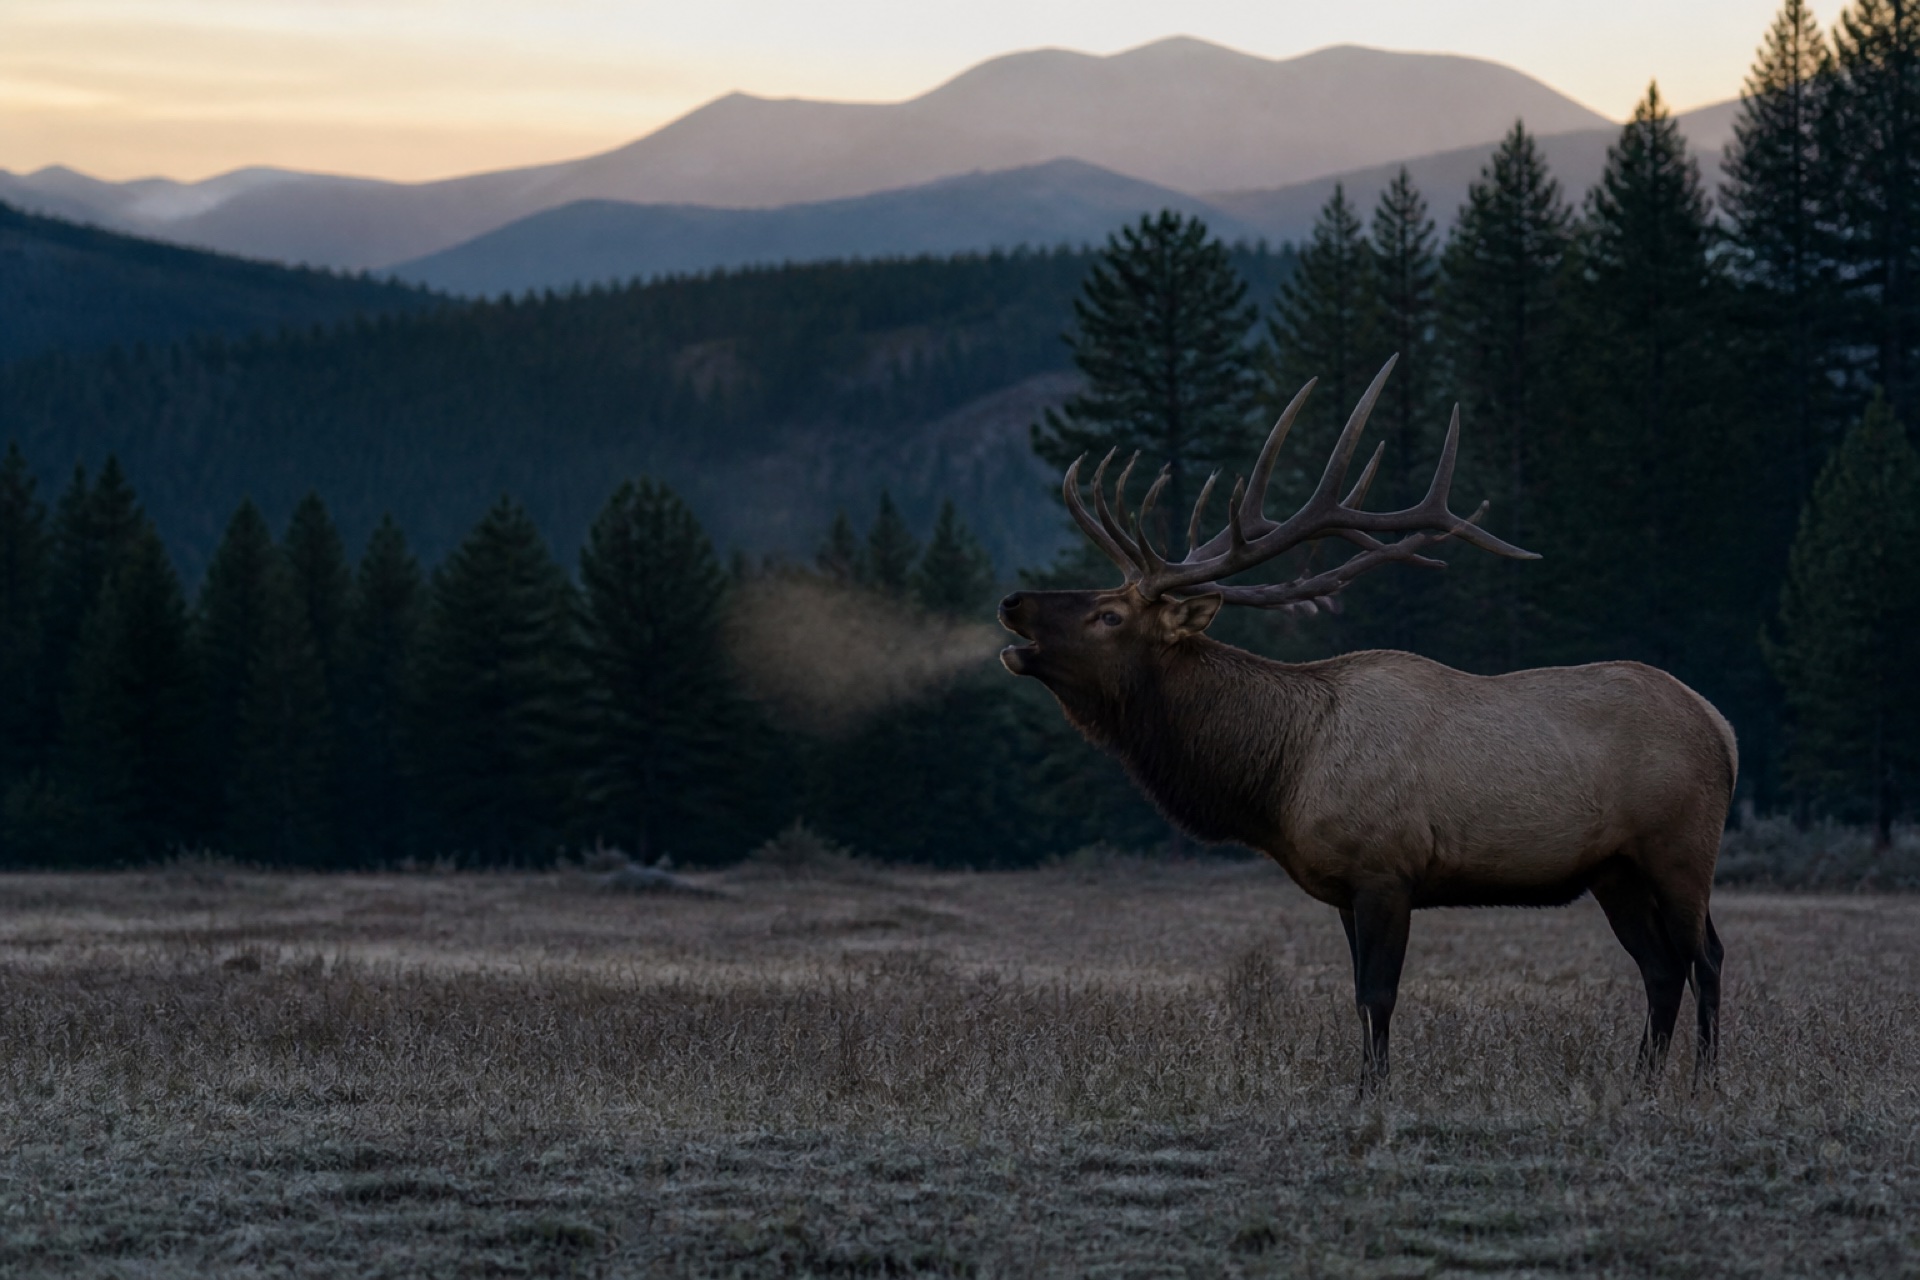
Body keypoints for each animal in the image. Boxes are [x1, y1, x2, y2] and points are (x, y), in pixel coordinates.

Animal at [998, 357, 1735, 1086]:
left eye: (1109, 615)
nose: (1013, 603)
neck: (1281, 778)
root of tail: (1722, 726)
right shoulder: (1346, 889)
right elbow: (1357, 997)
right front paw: (1363, 1086)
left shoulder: (1386, 869)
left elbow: (1377, 995)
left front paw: (1373, 1092)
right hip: (1614, 871)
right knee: (1660, 966)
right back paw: (1641, 1080)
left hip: (1681, 847)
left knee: (1705, 956)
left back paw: (1705, 1079)